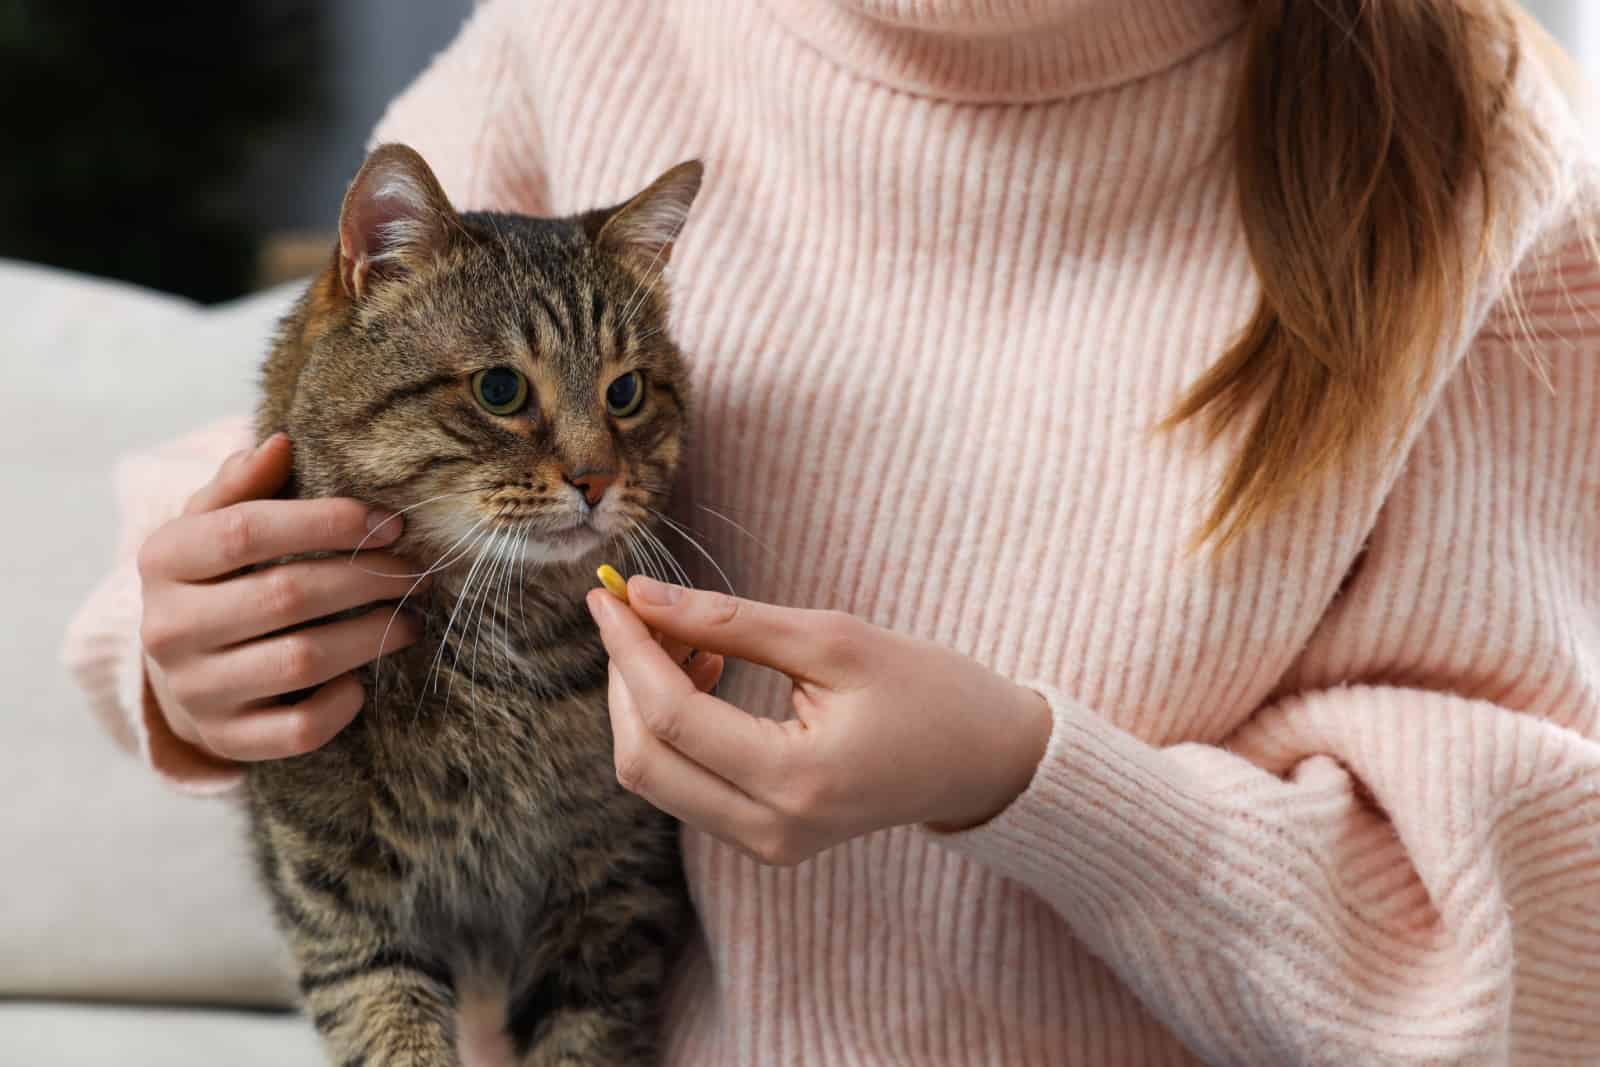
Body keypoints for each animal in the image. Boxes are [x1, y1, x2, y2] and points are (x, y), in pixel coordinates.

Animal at [244, 143, 700, 1067]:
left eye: (627, 392)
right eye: (500, 389)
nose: (598, 479)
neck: (500, 646)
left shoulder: (613, 887)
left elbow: (583, 1037)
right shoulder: (342, 898)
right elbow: (391, 1030)